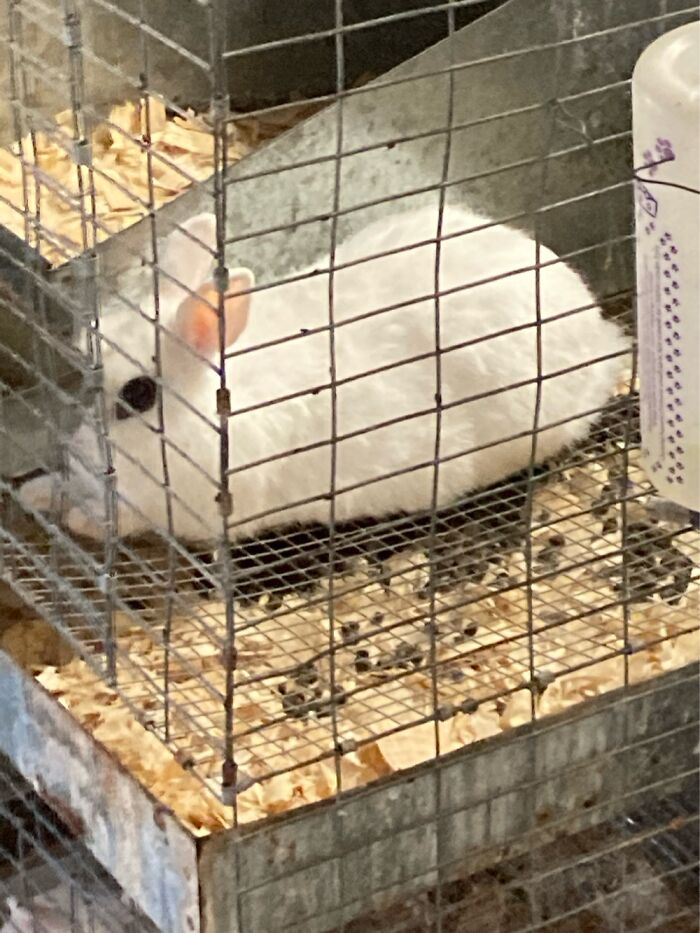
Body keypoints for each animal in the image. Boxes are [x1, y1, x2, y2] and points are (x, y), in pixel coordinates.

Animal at [17, 203, 628, 540]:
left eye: (138, 396)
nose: (75, 454)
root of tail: (599, 335)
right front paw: (39, 492)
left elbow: (120, 523)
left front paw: (57, 508)